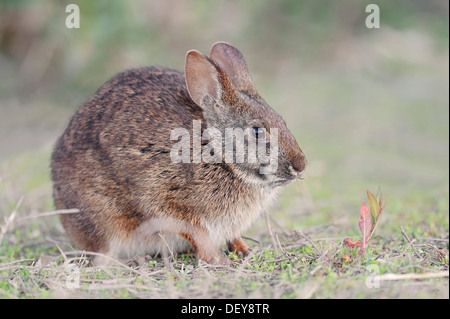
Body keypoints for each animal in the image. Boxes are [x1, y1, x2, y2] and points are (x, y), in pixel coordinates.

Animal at [51, 43, 308, 268]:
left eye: (282, 121)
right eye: (257, 131)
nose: (301, 165)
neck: (218, 153)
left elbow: (232, 236)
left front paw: (245, 250)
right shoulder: (166, 199)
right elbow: (196, 232)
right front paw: (217, 260)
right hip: (105, 223)